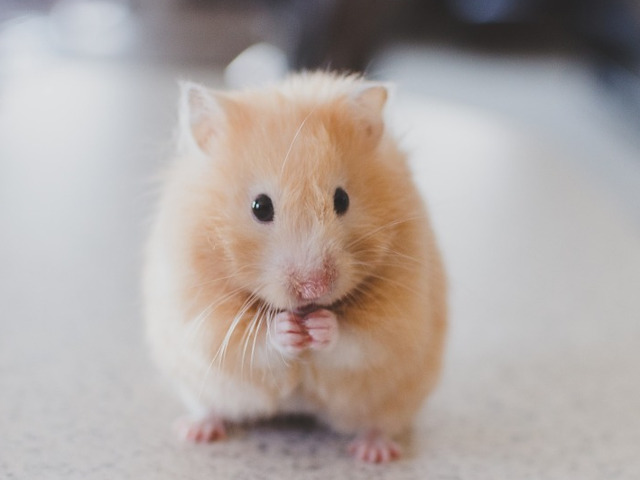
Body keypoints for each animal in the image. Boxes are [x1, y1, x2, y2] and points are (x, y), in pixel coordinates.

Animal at [143, 72, 447, 463]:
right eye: (260, 207)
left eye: (342, 200)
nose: (314, 288)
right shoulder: (200, 315)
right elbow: (251, 341)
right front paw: (287, 329)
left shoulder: (399, 317)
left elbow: (359, 340)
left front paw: (320, 326)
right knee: (210, 407)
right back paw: (195, 431)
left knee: (380, 423)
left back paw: (374, 453)